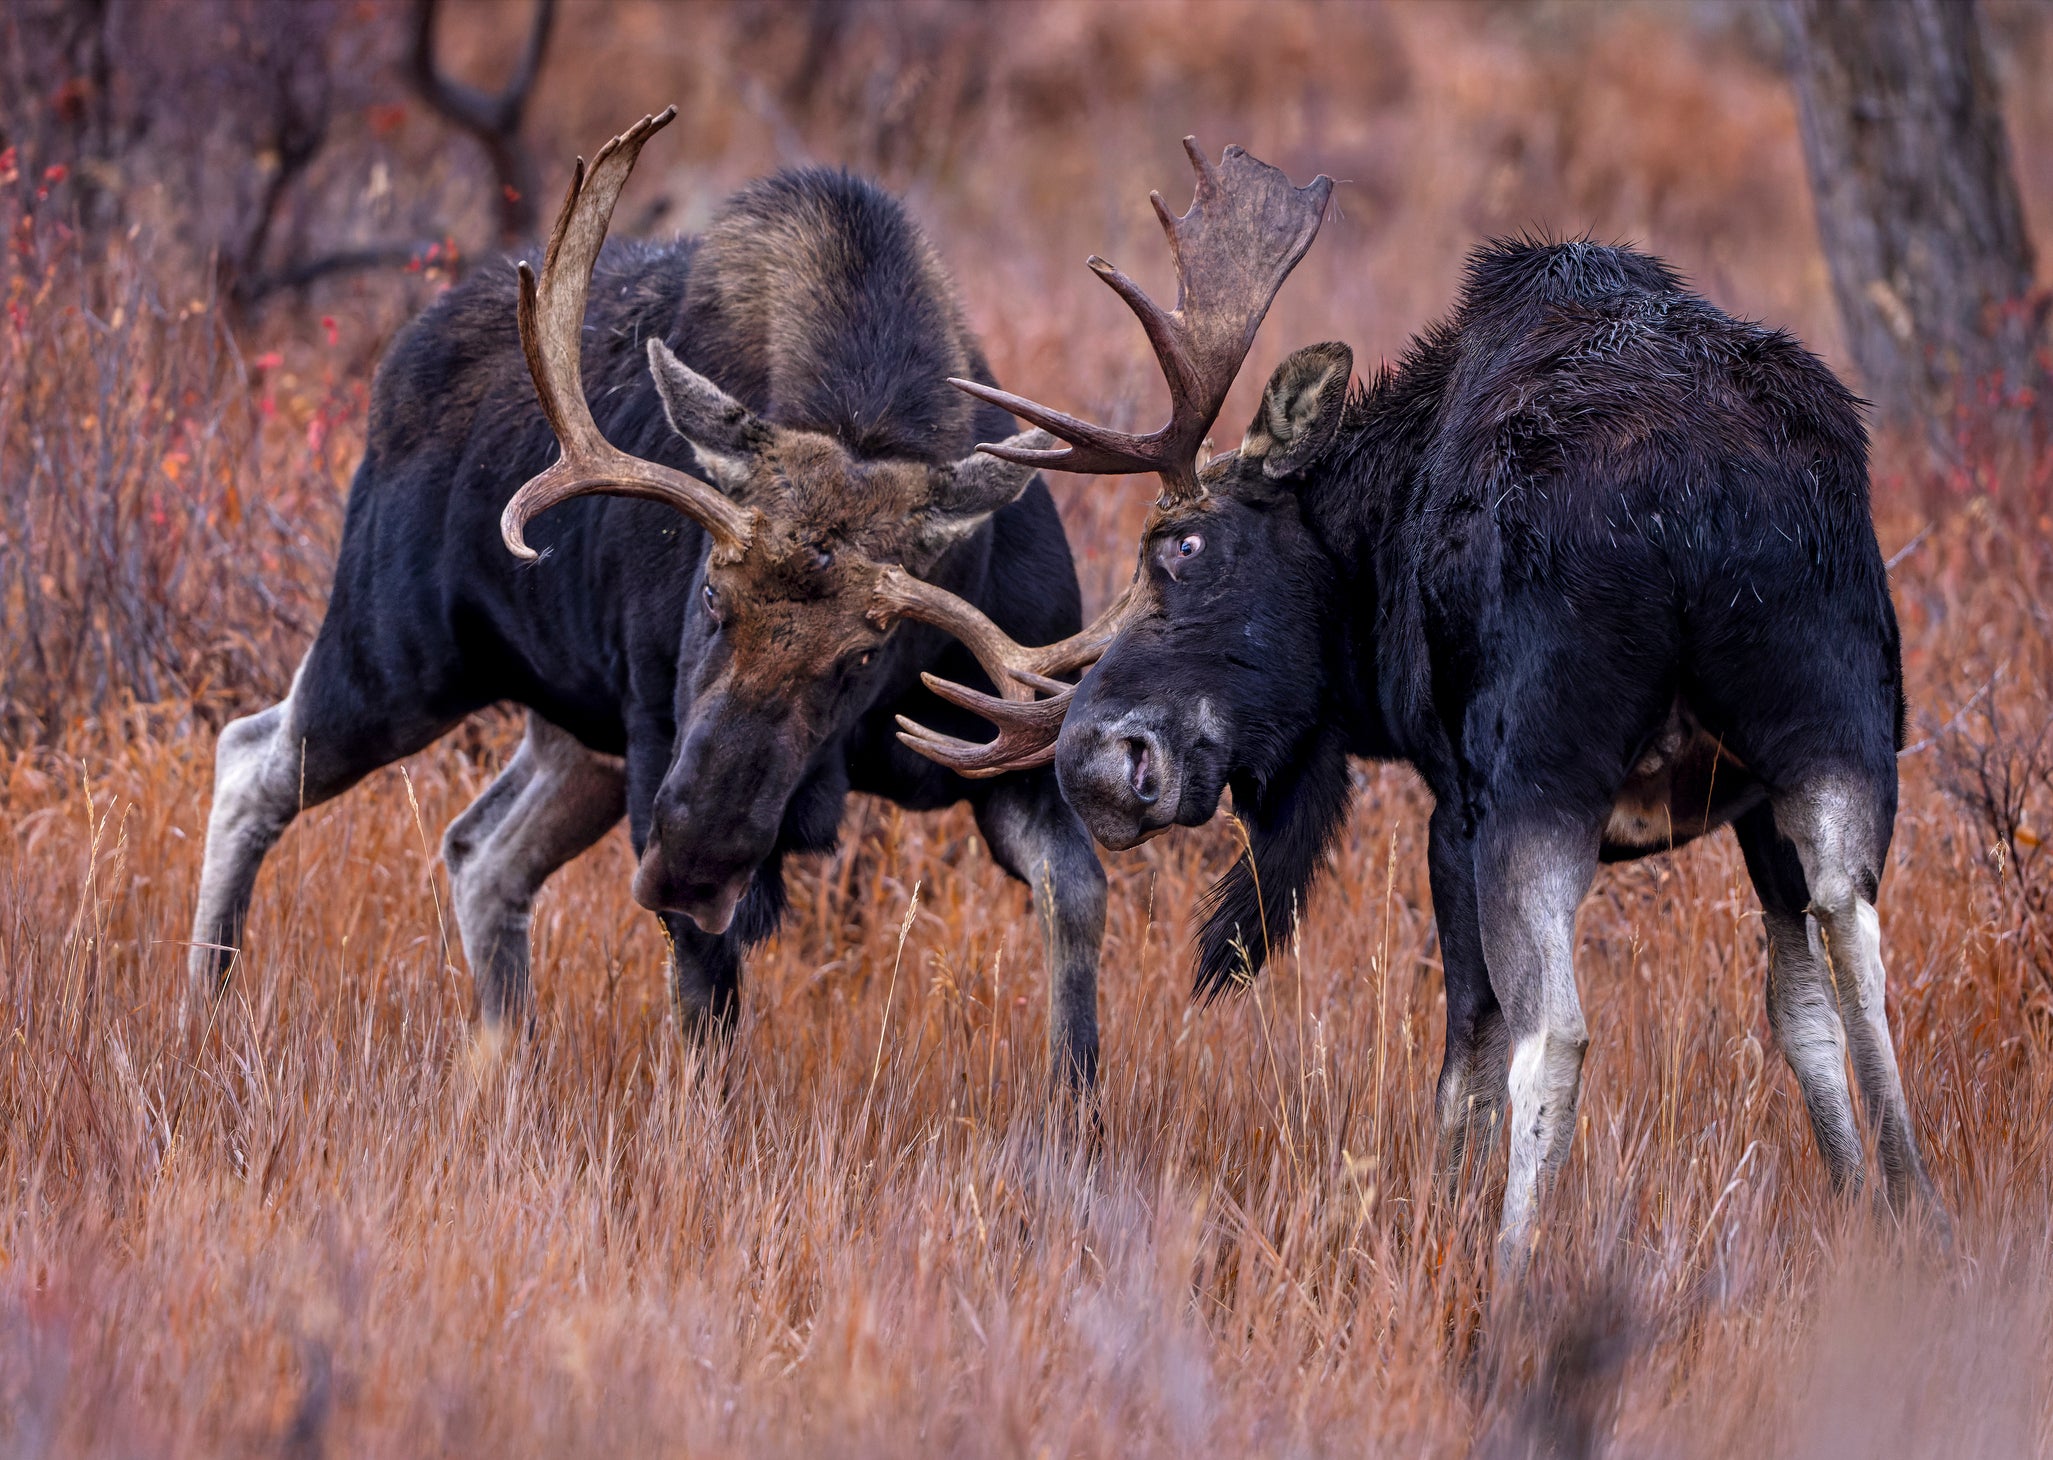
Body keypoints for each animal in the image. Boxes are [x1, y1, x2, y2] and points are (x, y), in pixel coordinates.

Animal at [187, 110, 1111, 1089]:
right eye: (709, 593)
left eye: (866, 651)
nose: (697, 858)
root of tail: (396, 363)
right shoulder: (656, 746)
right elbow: (706, 1005)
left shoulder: (1015, 753)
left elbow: (1078, 899)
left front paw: (1074, 1105)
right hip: (397, 658)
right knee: (250, 758)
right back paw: (207, 1002)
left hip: (575, 733)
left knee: (481, 851)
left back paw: (501, 1055)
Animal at [893, 138, 1949, 1277]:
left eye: (1180, 545)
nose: (1093, 762)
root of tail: (1695, 496)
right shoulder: (1748, 801)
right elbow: (1800, 1015)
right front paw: (1855, 1201)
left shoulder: (1452, 804)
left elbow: (1464, 1064)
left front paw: (1442, 1220)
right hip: (1833, 729)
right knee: (1856, 942)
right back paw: (1914, 1207)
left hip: (1538, 777)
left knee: (1555, 1030)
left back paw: (1511, 1275)